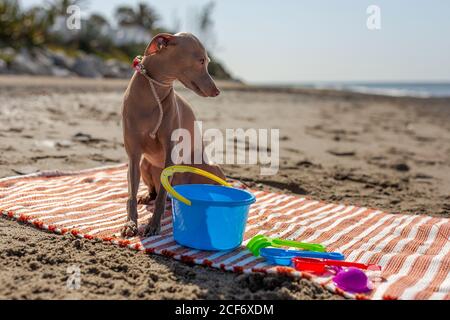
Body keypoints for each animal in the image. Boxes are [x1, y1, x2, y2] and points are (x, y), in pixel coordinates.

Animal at [121, 33, 225, 238]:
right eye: (201, 61)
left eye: (207, 61)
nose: (217, 91)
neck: (152, 92)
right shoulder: (134, 156)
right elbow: (131, 194)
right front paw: (130, 224)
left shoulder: (170, 153)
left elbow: (161, 197)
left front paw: (153, 225)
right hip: (145, 165)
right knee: (154, 192)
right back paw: (146, 196)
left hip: (211, 168)